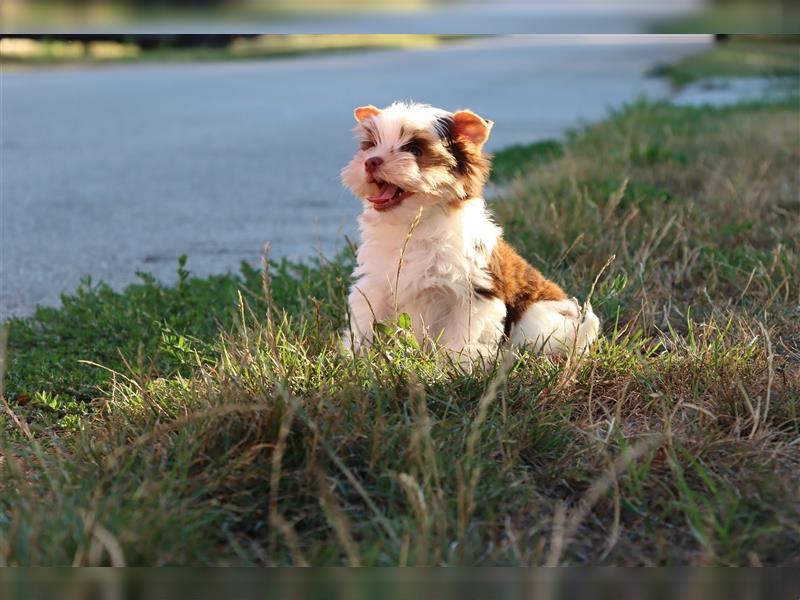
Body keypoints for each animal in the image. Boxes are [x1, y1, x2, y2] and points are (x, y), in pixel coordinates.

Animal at [340, 102, 596, 360]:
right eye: (371, 146)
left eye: (414, 149)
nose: (371, 161)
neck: (414, 224)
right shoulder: (376, 284)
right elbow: (365, 318)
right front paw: (356, 355)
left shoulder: (474, 292)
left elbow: (463, 334)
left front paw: (459, 362)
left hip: (537, 318)